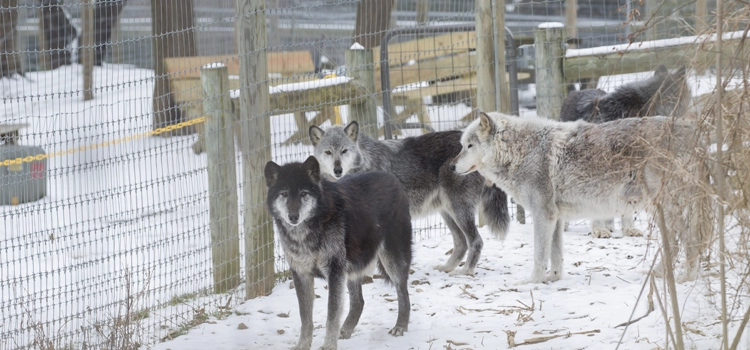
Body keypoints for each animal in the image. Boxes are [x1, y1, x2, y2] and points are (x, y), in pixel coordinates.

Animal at [310, 122, 512, 276]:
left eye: (344, 151)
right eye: (328, 152)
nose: (337, 170)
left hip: (458, 210)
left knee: (476, 241)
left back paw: (465, 271)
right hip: (447, 211)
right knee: (461, 242)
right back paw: (447, 267)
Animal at [452, 110, 716, 284]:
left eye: (469, 146)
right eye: (461, 145)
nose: (452, 167)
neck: (521, 152)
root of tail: (695, 133)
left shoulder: (543, 215)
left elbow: (539, 254)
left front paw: (532, 282)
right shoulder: (556, 218)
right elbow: (556, 255)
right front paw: (553, 279)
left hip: (664, 208)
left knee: (688, 240)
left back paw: (685, 277)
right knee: (679, 241)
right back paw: (661, 274)